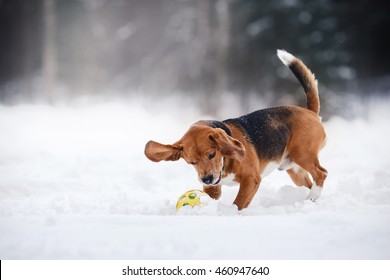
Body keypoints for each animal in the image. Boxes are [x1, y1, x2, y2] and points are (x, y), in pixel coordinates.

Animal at [145, 49, 328, 209]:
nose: (206, 179)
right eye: (191, 162)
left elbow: (238, 204)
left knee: (321, 173)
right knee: (309, 182)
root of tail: (309, 111)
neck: (225, 161)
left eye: (212, 154)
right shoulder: (213, 189)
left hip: (303, 154)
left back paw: (312, 197)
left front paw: (232, 214)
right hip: (295, 170)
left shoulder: (251, 179)